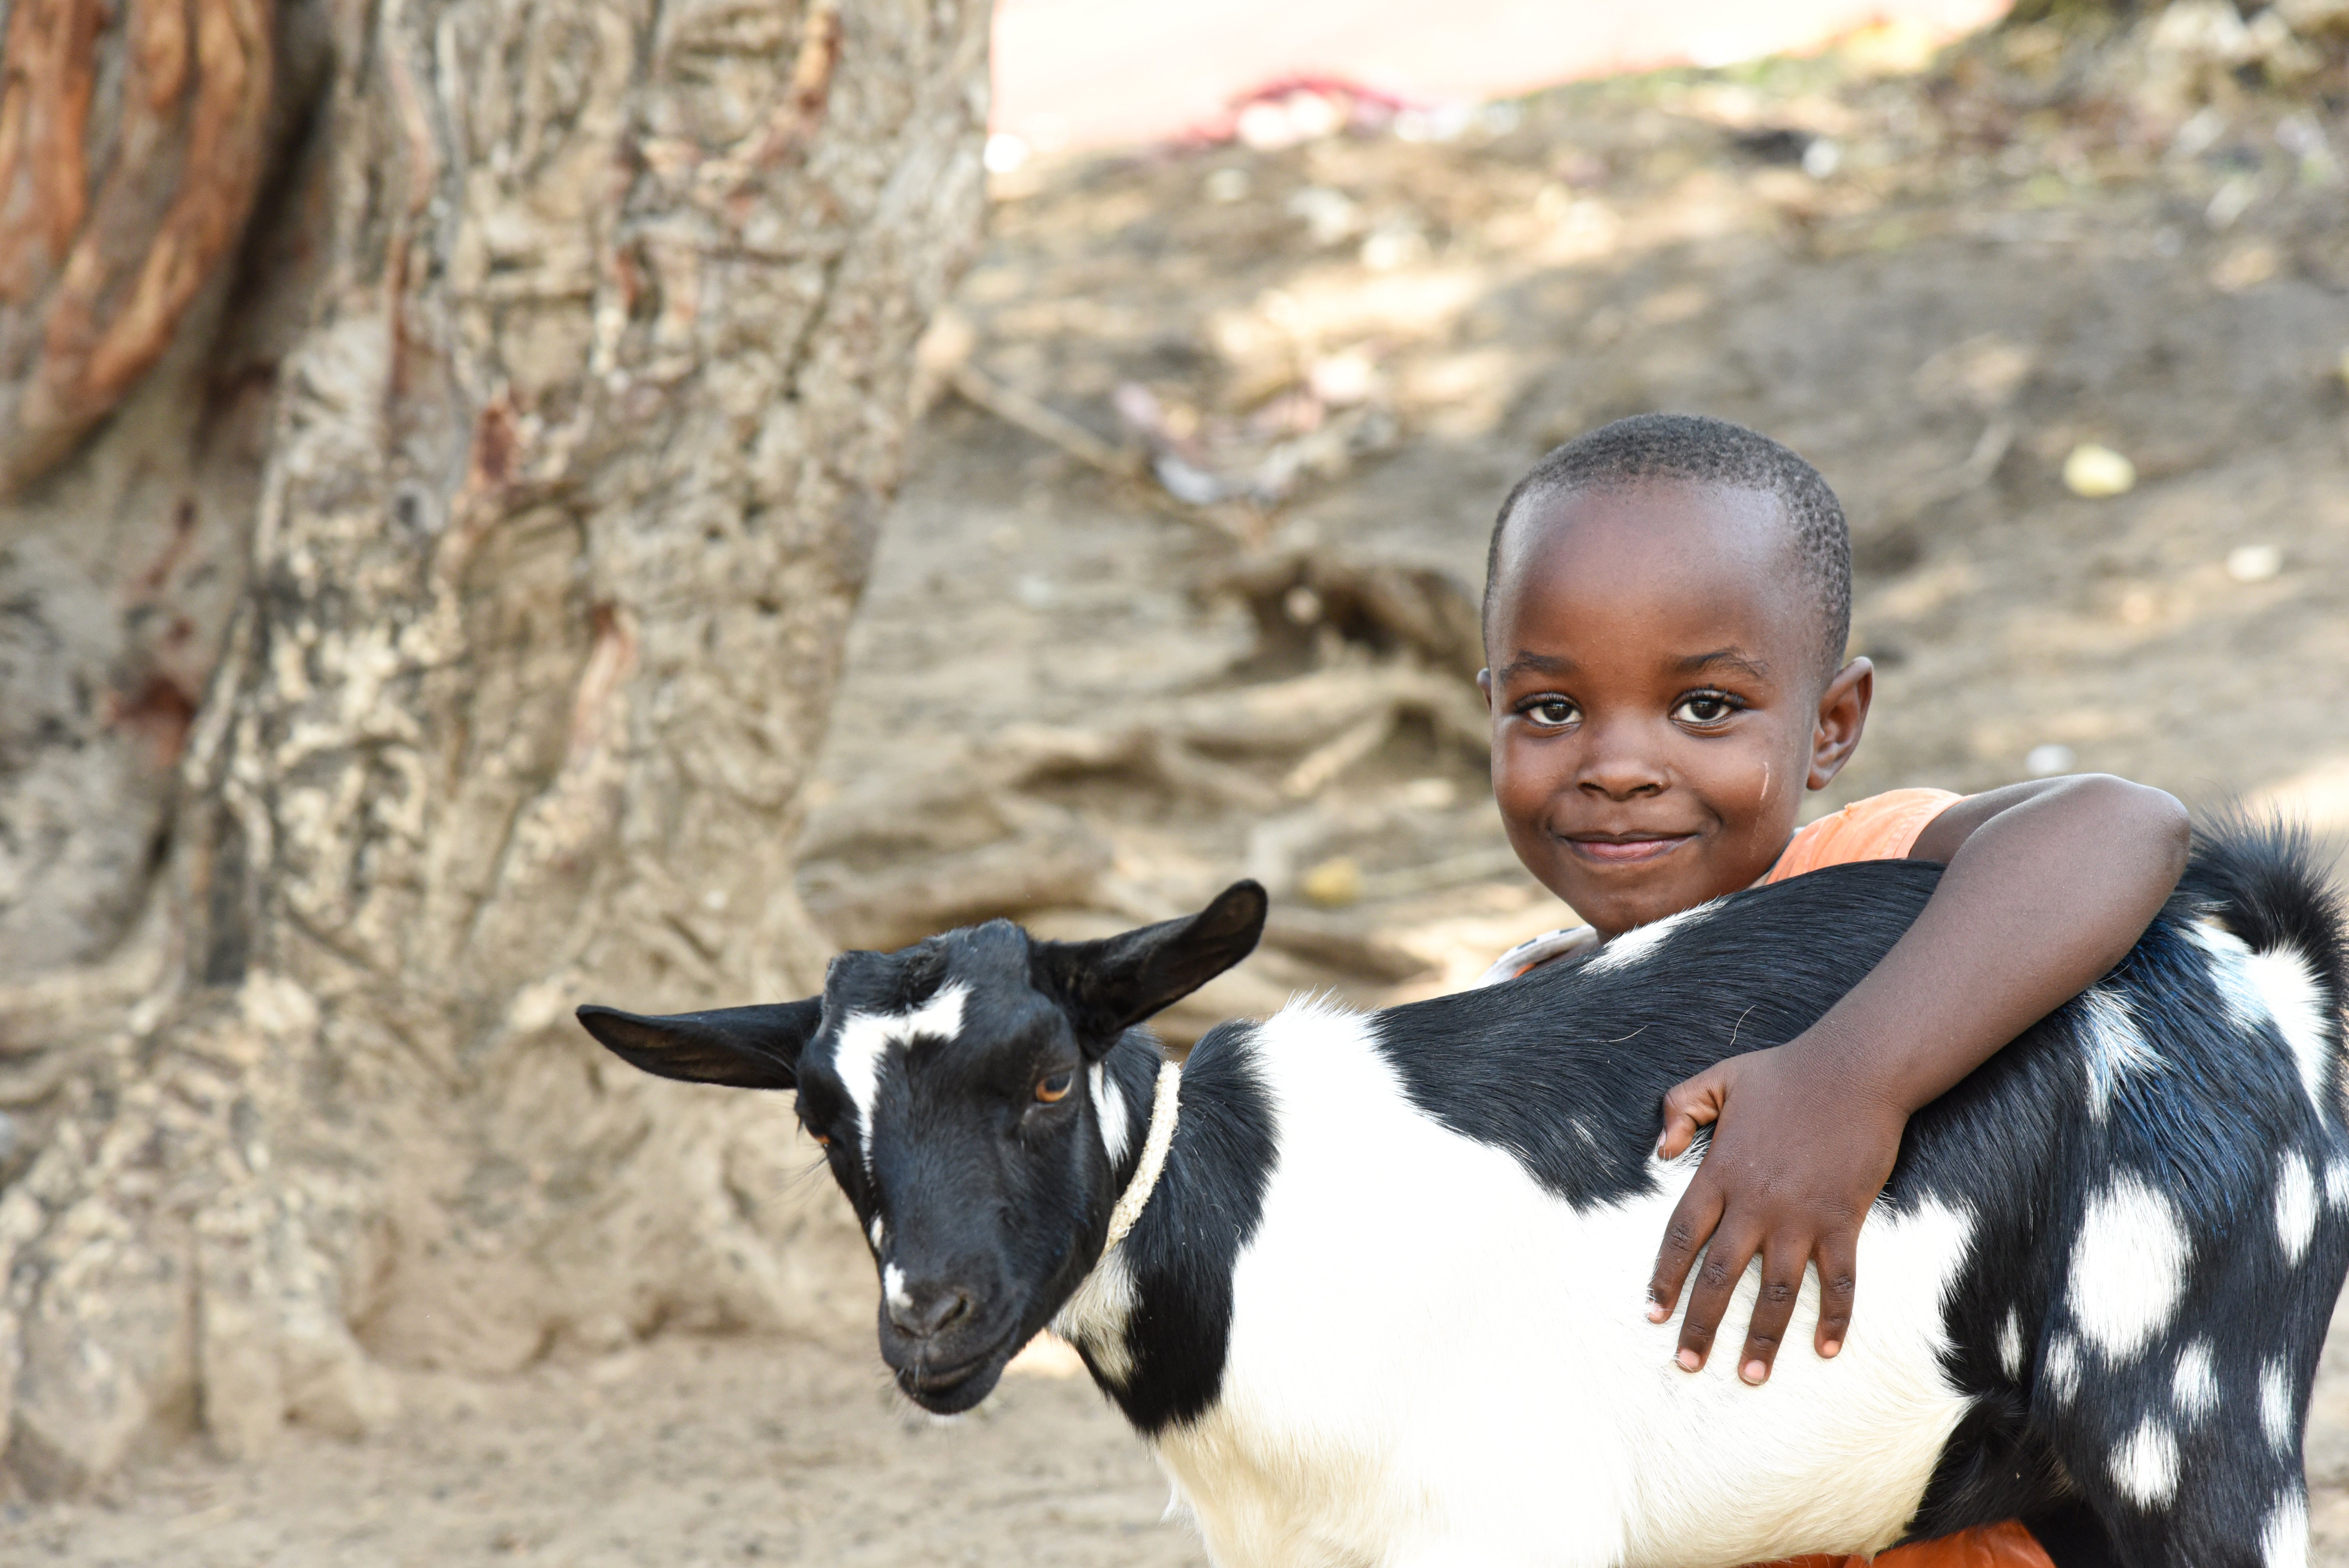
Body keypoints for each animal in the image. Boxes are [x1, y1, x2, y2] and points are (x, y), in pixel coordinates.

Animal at [577, 821, 2348, 1568]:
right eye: (820, 1118)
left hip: (2192, 1412)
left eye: (1042, 1079)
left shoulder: (1497, 1524)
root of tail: (2244, 948)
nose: (925, 1319)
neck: (1244, 1232)